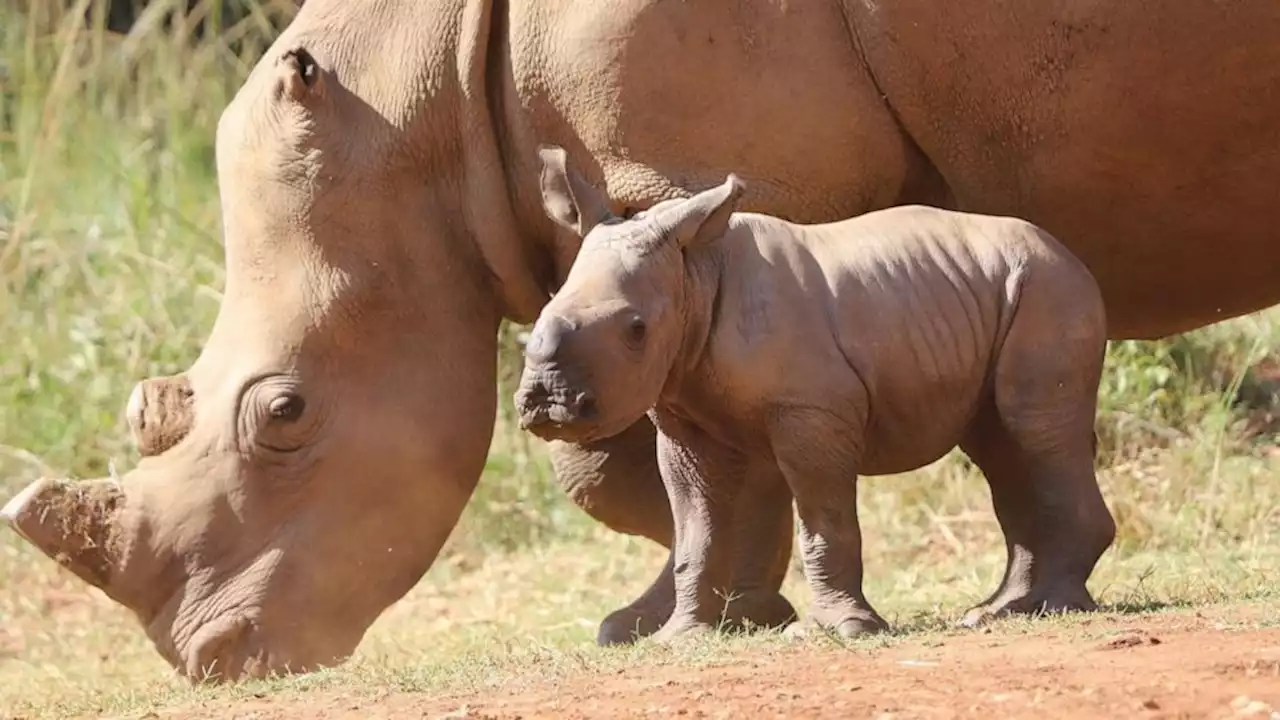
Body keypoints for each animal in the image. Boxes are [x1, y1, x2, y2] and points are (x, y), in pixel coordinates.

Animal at [514, 146, 1116, 638]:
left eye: (636, 330)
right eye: (543, 314)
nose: (545, 402)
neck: (696, 274)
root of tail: (1073, 256)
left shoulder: (812, 412)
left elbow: (823, 517)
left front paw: (840, 631)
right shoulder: (683, 418)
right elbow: (695, 529)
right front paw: (680, 638)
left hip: (1048, 287)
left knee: (1033, 430)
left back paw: (1053, 607)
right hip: (1000, 289)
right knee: (1000, 445)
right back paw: (1000, 612)